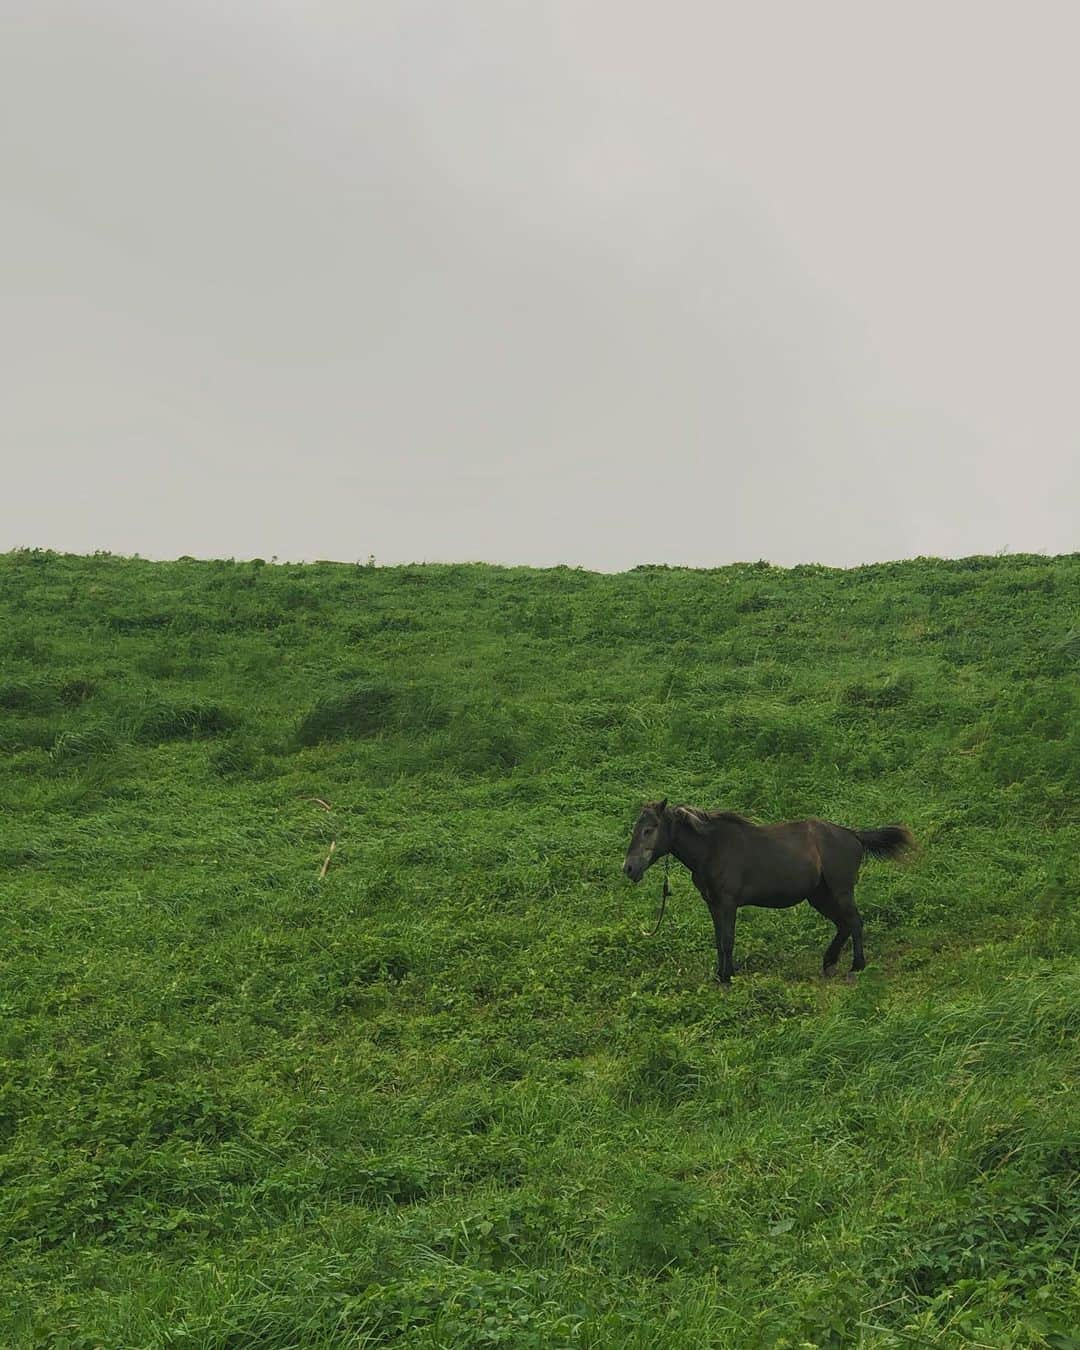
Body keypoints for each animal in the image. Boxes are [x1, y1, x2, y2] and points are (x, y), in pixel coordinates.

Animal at [623, 793, 912, 988]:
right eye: (636, 829)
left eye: (649, 829)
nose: (628, 868)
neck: (712, 849)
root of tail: (853, 835)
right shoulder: (713, 904)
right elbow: (719, 940)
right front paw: (720, 975)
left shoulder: (727, 903)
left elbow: (727, 940)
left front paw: (728, 978)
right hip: (819, 896)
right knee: (843, 925)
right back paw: (828, 963)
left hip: (841, 890)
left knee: (854, 922)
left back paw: (856, 968)